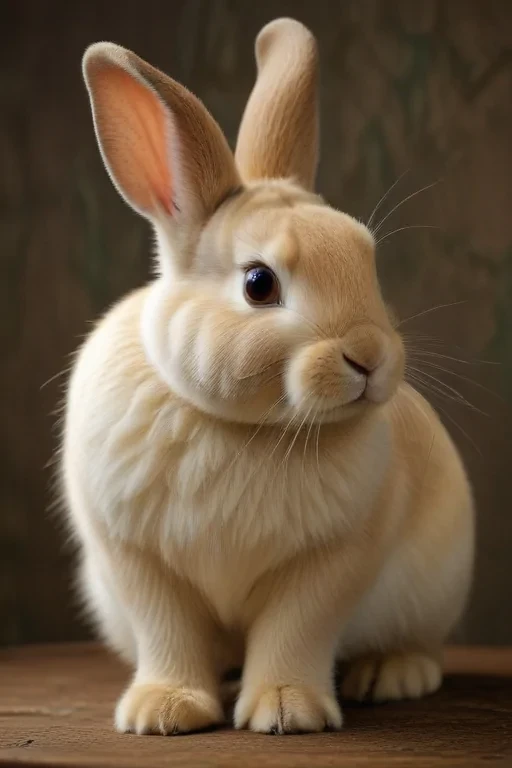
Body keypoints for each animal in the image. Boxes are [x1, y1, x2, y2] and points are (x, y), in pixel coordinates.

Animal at [61, 18, 475, 736]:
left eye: (366, 260)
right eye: (259, 283)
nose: (370, 356)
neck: (241, 426)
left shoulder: (334, 561)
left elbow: (296, 629)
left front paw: (287, 710)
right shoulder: (135, 560)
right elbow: (167, 632)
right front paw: (162, 711)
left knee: (419, 643)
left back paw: (393, 675)